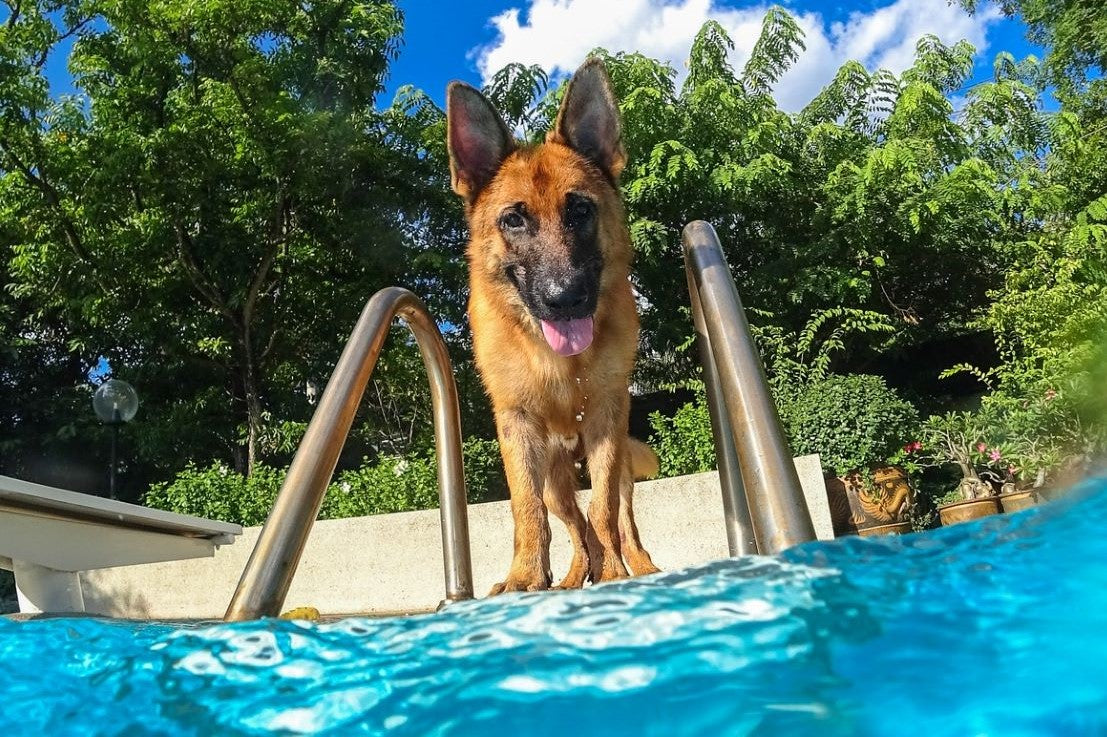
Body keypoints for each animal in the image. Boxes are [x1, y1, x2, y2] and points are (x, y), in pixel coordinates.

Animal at [447, 60, 655, 593]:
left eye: (579, 210)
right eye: (514, 220)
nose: (565, 299)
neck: (562, 364)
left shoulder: (605, 421)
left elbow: (604, 511)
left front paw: (615, 574)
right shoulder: (518, 427)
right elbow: (527, 511)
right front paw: (525, 576)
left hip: (617, 464)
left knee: (620, 518)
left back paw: (636, 566)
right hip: (555, 481)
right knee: (574, 524)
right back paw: (575, 575)